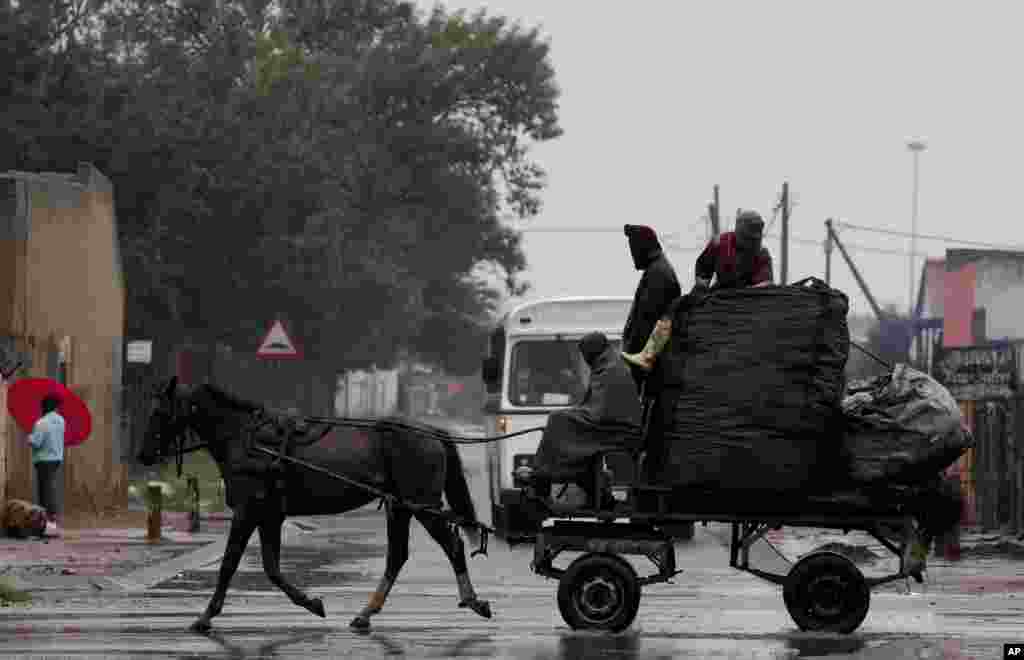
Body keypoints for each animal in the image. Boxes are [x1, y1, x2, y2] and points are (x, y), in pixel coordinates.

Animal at [138, 376, 493, 626]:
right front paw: (311, 603)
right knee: (397, 556)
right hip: (401, 507)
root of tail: (431, 431)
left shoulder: (248, 511)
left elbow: (229, 563)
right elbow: (272, 568)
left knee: (451, 546)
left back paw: (473, 600)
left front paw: (206, 615)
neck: (247, 438)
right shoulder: (269, 515)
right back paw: (366, 612)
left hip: (421, 505)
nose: (143, 455)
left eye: (160, 411)